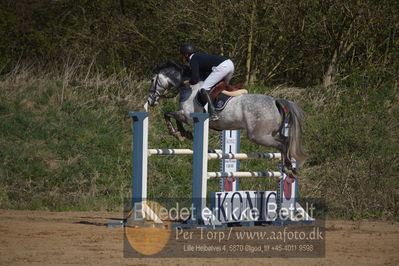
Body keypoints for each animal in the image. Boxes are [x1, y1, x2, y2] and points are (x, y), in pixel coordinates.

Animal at [148, 60, 308, 177]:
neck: (188, 88)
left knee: (283, 144)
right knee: (285, 141)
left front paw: (177, 133)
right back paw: (291, 169)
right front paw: (183, 133)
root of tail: (275, 101)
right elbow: (173, 116)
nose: (150, 101)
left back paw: (288, 169)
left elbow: (169, 114)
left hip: (259, 136)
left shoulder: (187, 116)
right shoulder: (186, 116)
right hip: (269, 134)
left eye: (152, 79)